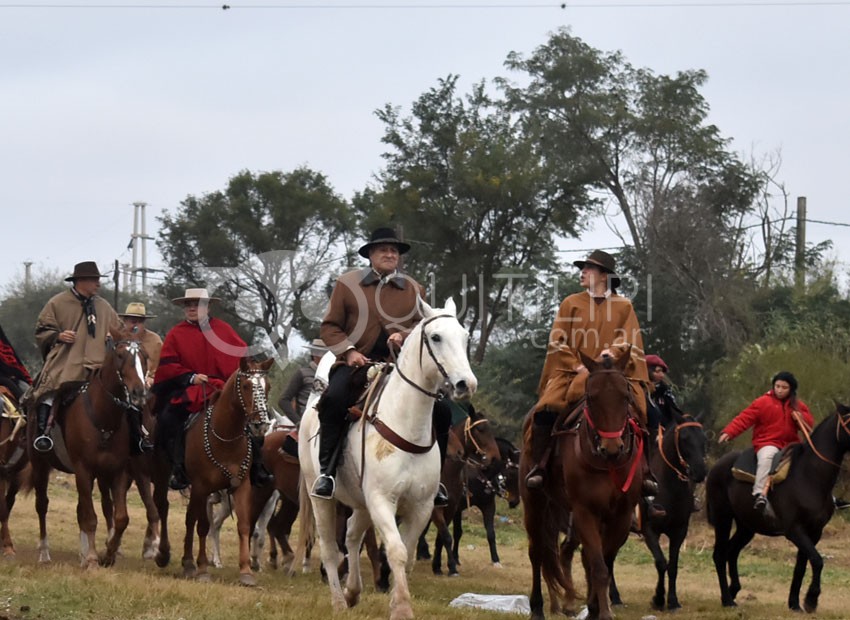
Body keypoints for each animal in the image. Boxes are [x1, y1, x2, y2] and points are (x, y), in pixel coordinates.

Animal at [24, 332, 147, 568]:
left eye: (144, 357)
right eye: (120, 356)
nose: (139, 391)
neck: (103, 418)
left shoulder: (117, 472)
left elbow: (120, 518)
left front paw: (108, 554)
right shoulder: (83, 469)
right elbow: (90, 517)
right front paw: (91, 558)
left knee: (82, 508)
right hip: (40, 465)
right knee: (42, 505)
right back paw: (44, 552)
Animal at [152, 354, 272, 588]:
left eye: (267, 386)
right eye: (246, 386)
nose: (260, 425)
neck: (226, 439)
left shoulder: (242, 487)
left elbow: (244, 525)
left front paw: (246, 571)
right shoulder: (202, 487)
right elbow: (202, 526)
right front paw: (202, 568)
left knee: (190, 518)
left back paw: (187, 561)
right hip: (170, 479)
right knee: (171, 510)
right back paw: (177, 559)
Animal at [298, 298, 474, 616]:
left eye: (465, 337)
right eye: (436, 337)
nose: (466, 384)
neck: (406, 424)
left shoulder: (421, 506)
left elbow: (408, 553)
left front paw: (394, 596)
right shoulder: (381, 500)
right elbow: (396, 550)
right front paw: (401, 608)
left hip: (361, 502)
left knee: (352, 536)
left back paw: (353, 591)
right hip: (320, 497)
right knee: (330, 548)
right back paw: (339, 602)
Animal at [516, 354, 644, 620]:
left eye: (625, 397)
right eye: (592, 397)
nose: (612, 448)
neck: (606, 464)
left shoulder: (621, 516)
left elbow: (603, 562)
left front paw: (595, 608)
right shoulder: (585, 512)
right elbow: (598, 566)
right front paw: (602, 612)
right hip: (535, 503)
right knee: (537, 552)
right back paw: (538, 607)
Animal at [704, 402, 850, 612]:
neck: (809, 476)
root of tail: (716, 466)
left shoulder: (814, 531)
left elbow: (802, 566)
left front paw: (795, 603)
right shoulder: (794, 530)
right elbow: (817, 560)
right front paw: (811, 600)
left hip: (746, 527)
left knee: (731, 551)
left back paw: (733, 591)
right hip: (723, 519)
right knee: (719, 554)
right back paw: (727, 599)